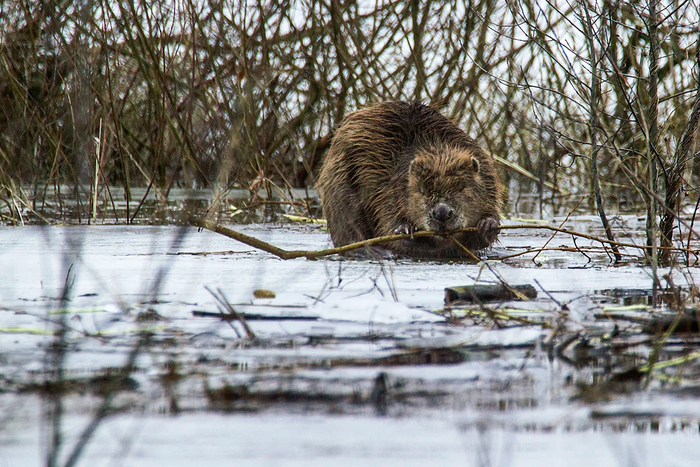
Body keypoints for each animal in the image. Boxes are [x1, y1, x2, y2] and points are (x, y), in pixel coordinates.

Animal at [318, 101, 504, 260]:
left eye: (462, 187)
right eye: (421, 190)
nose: (442, 213)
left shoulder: (486, 175)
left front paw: (488, 224)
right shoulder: (385, 186)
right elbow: (388, 219)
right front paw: (405, 230)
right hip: (338, 182)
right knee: (348, 226)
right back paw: (378, 251)